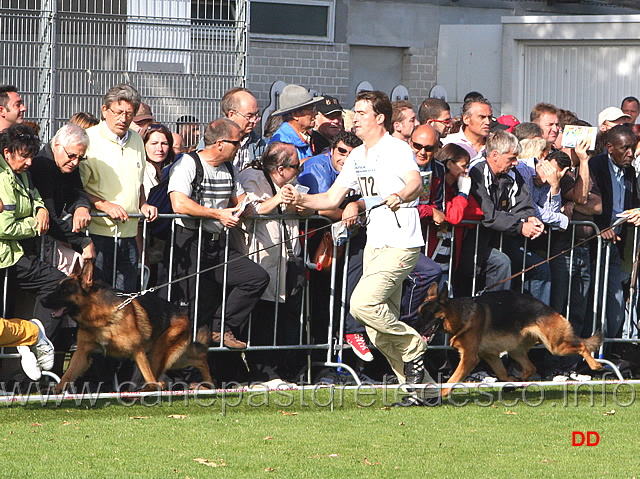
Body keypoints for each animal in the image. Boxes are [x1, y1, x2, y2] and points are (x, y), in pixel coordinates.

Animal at [42, 262, 212, 394]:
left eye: (64, 291)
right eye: (57, 288)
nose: (43, 300)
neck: (98, 315)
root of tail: (184, 316)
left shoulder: (138, 351)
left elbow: (149, 377)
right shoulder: (81, 353)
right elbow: (67, 375)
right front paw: (56, 390)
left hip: (159, 354)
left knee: (159, 376)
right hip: (172, 357)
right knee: (199, 358)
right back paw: (208, 385)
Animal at [418, 284, 604, 396]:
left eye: (428, 314)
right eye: (420, 313)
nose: (417, 329)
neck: (463, 315)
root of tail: (552, 310)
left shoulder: (470, 358)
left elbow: (453, 378)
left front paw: (441, 394)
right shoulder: (490, 355)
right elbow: (501, 373)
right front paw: (510, 380)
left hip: (556, 346)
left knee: (582, 345)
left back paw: (595, 364)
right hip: (516, 351)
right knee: (530, 367)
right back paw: (517, 382)